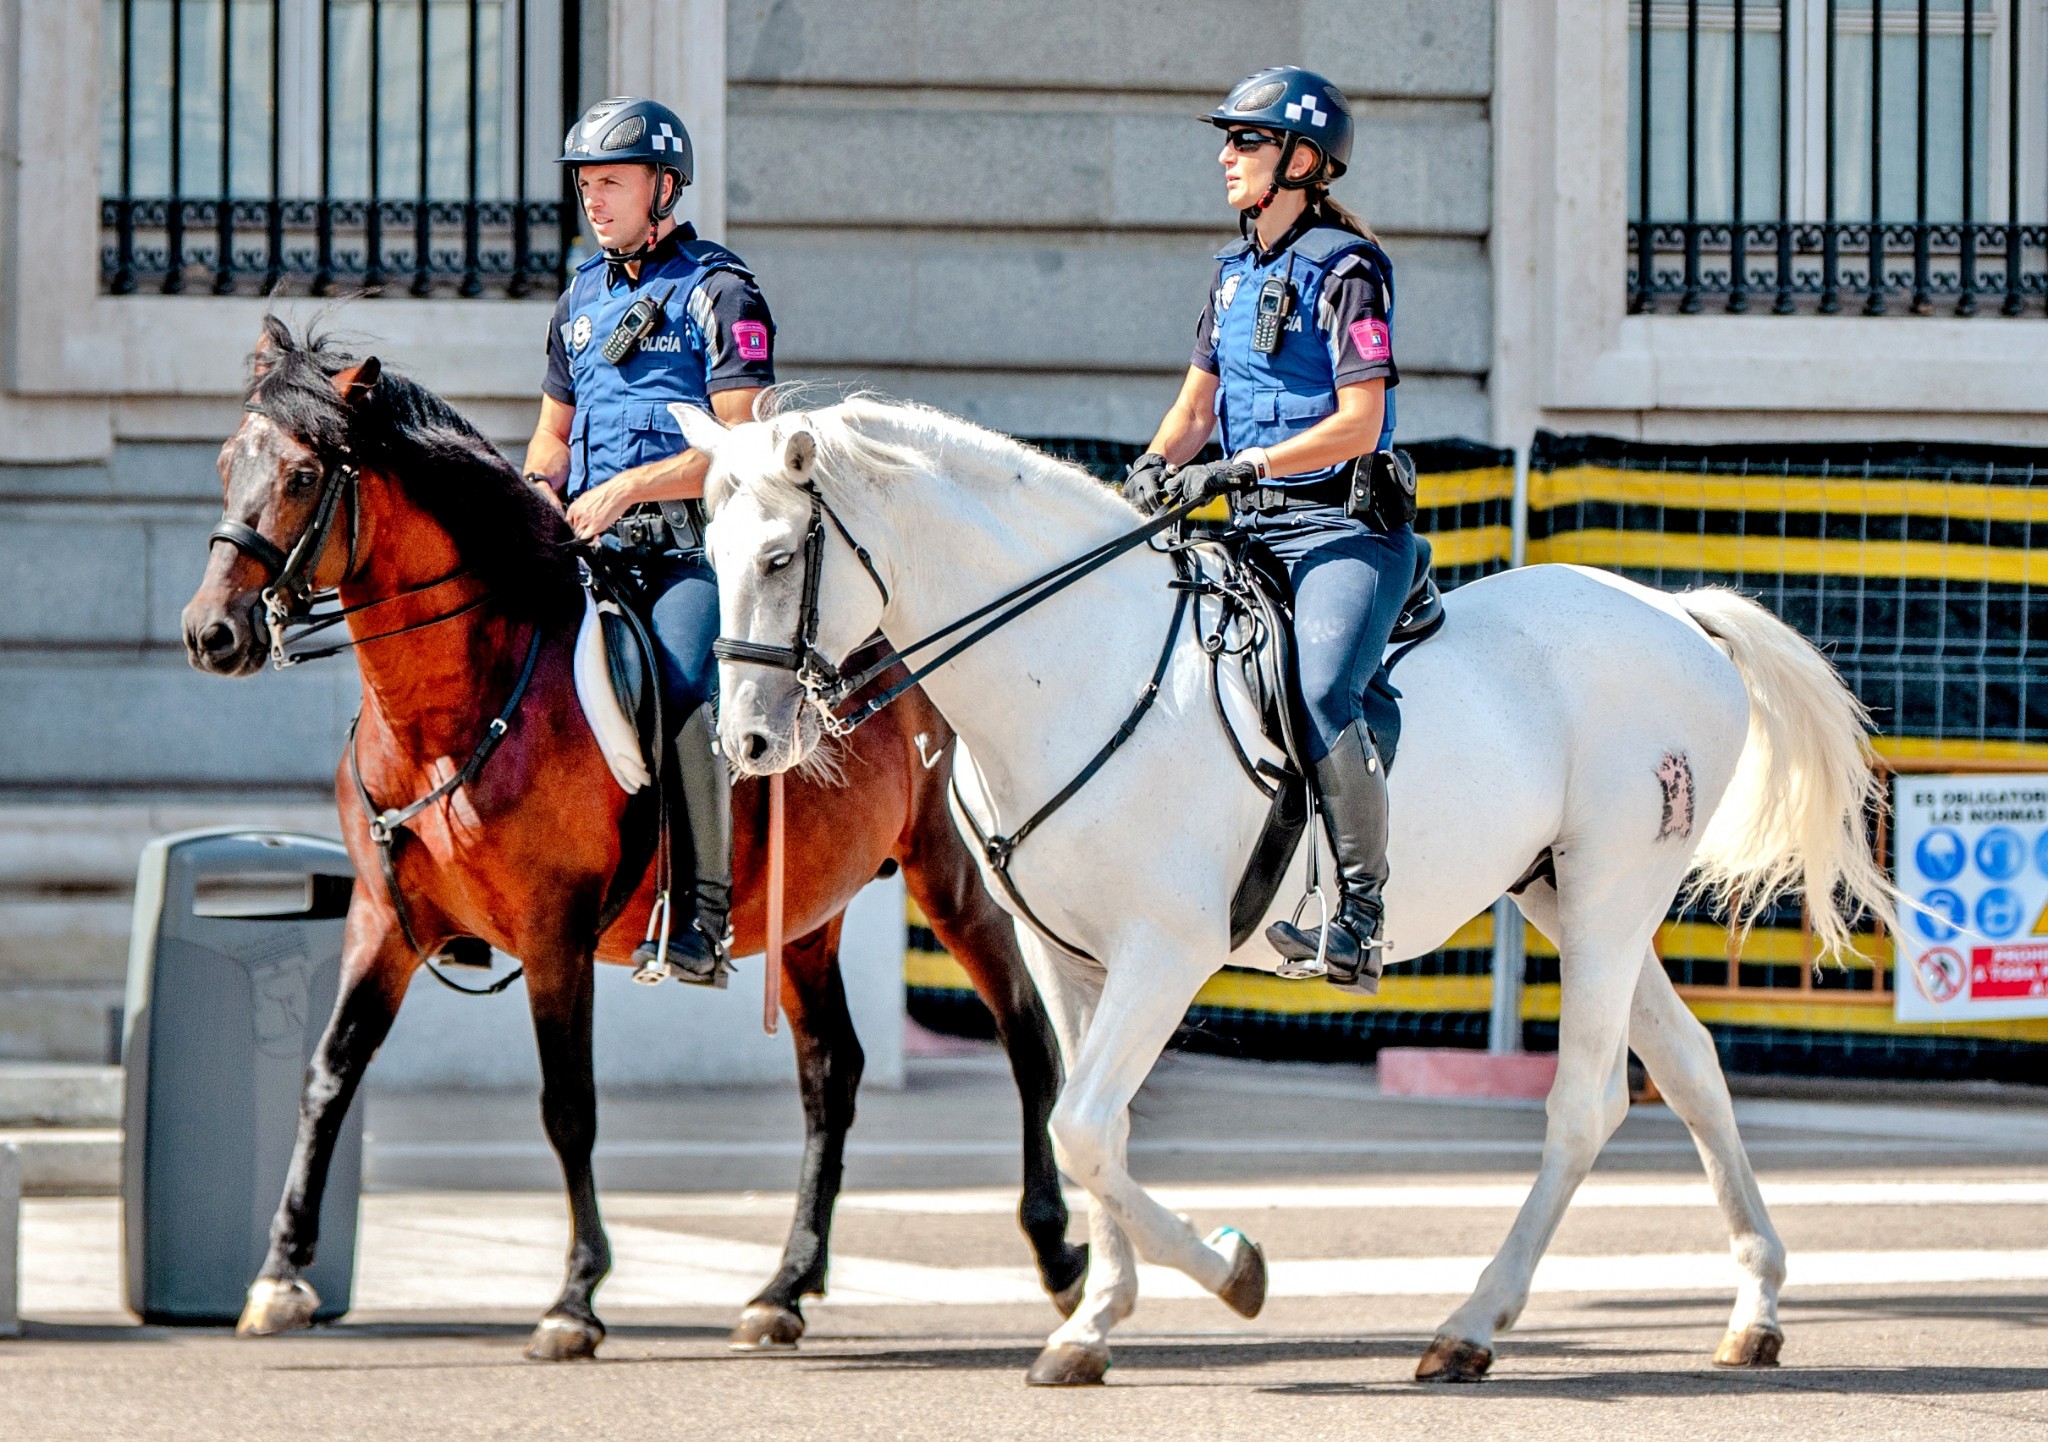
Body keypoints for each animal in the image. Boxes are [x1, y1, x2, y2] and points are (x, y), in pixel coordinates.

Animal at [180, 323, 1089, 1360]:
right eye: (227, 463)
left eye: (299, 475)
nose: (210, 633)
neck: (453, 711)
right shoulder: (382, 922)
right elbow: (327, 1076)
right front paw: (281, 1272)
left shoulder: (554, 936)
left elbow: (567, 1108)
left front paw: (575, 1297)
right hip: (805, 912)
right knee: (832, 1073)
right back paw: (786, 1285)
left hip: (952, 874)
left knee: (1026, 1035)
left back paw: (1057, 1252)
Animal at [679, 393, 1892, 1384]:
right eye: (709, 548)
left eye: (781, 557)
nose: (747, 741)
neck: (1071, 664)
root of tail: (1678, 615)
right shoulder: (1068, 959)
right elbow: (1095, 1131)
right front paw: (1094, 1321)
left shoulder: (1163, 953)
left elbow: (1083, 1128)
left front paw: (1230, 1270)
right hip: (1569, 896)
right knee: (1689, 1065)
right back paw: (1753, 1305)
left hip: (1607, 895)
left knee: (1586, 1104)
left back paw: (1471, 1324)